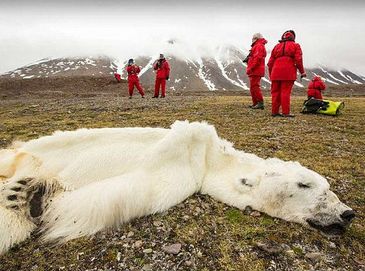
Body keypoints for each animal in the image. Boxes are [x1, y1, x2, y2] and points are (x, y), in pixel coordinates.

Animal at [0, 121, 352, 255]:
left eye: (327, 186)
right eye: (305, 183)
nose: (347, 213)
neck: (209, 159)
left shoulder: (179, 178)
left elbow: (109, 197)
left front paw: (38, 197)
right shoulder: (187, 148)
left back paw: (23, 194)